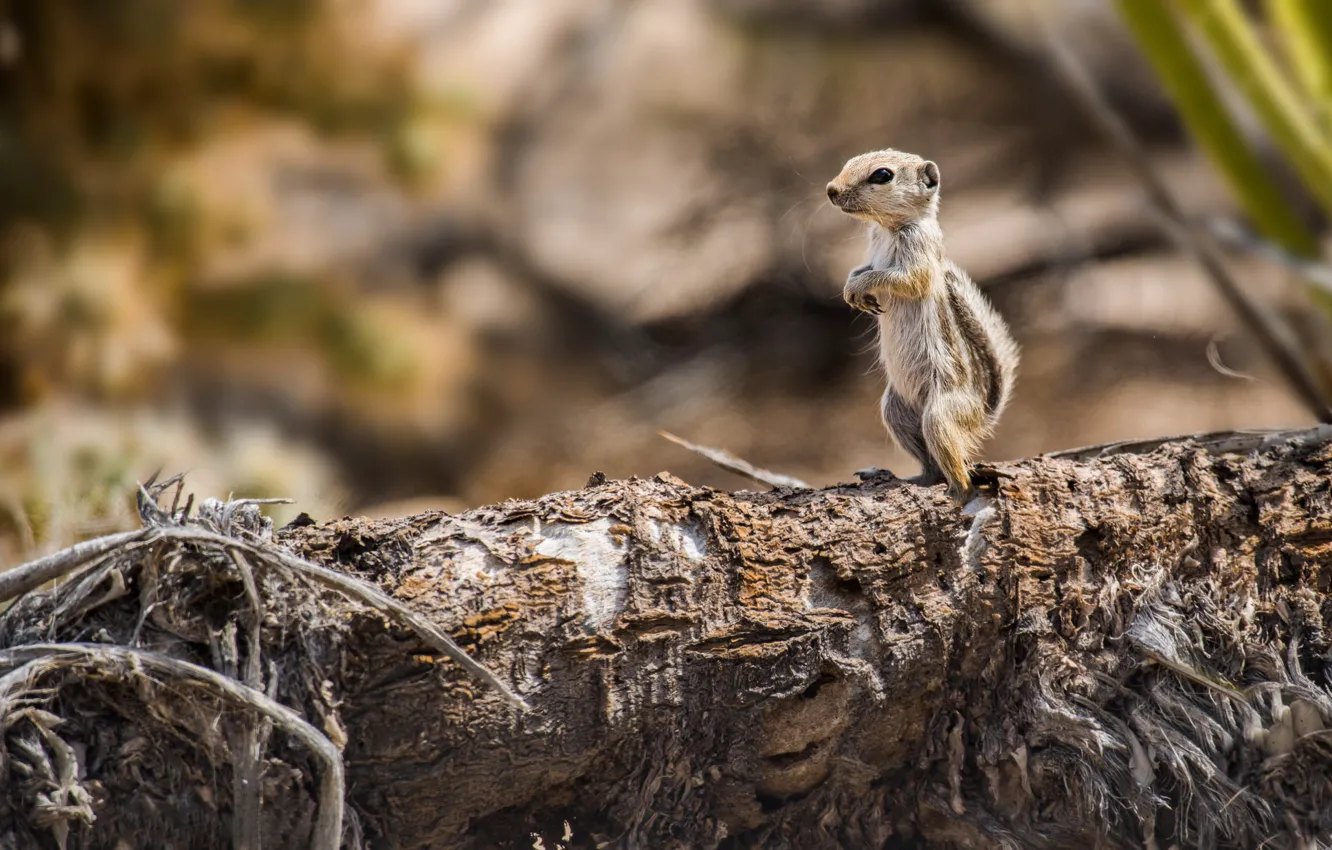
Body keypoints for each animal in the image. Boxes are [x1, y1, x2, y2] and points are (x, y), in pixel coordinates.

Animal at [820, 149, 1017, 503]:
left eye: (882, 175)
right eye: (849, 162)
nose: (831, 190)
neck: (886, 228)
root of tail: (980, 415)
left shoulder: (919, 256)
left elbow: (901, 278)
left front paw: (861, 286)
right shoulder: (871, 252)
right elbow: (863, 268)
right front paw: (850, 288)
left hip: (940, 415)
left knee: (956, 468)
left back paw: (957, 491)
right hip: (895, 411)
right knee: (931, 467)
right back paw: (910, 478)